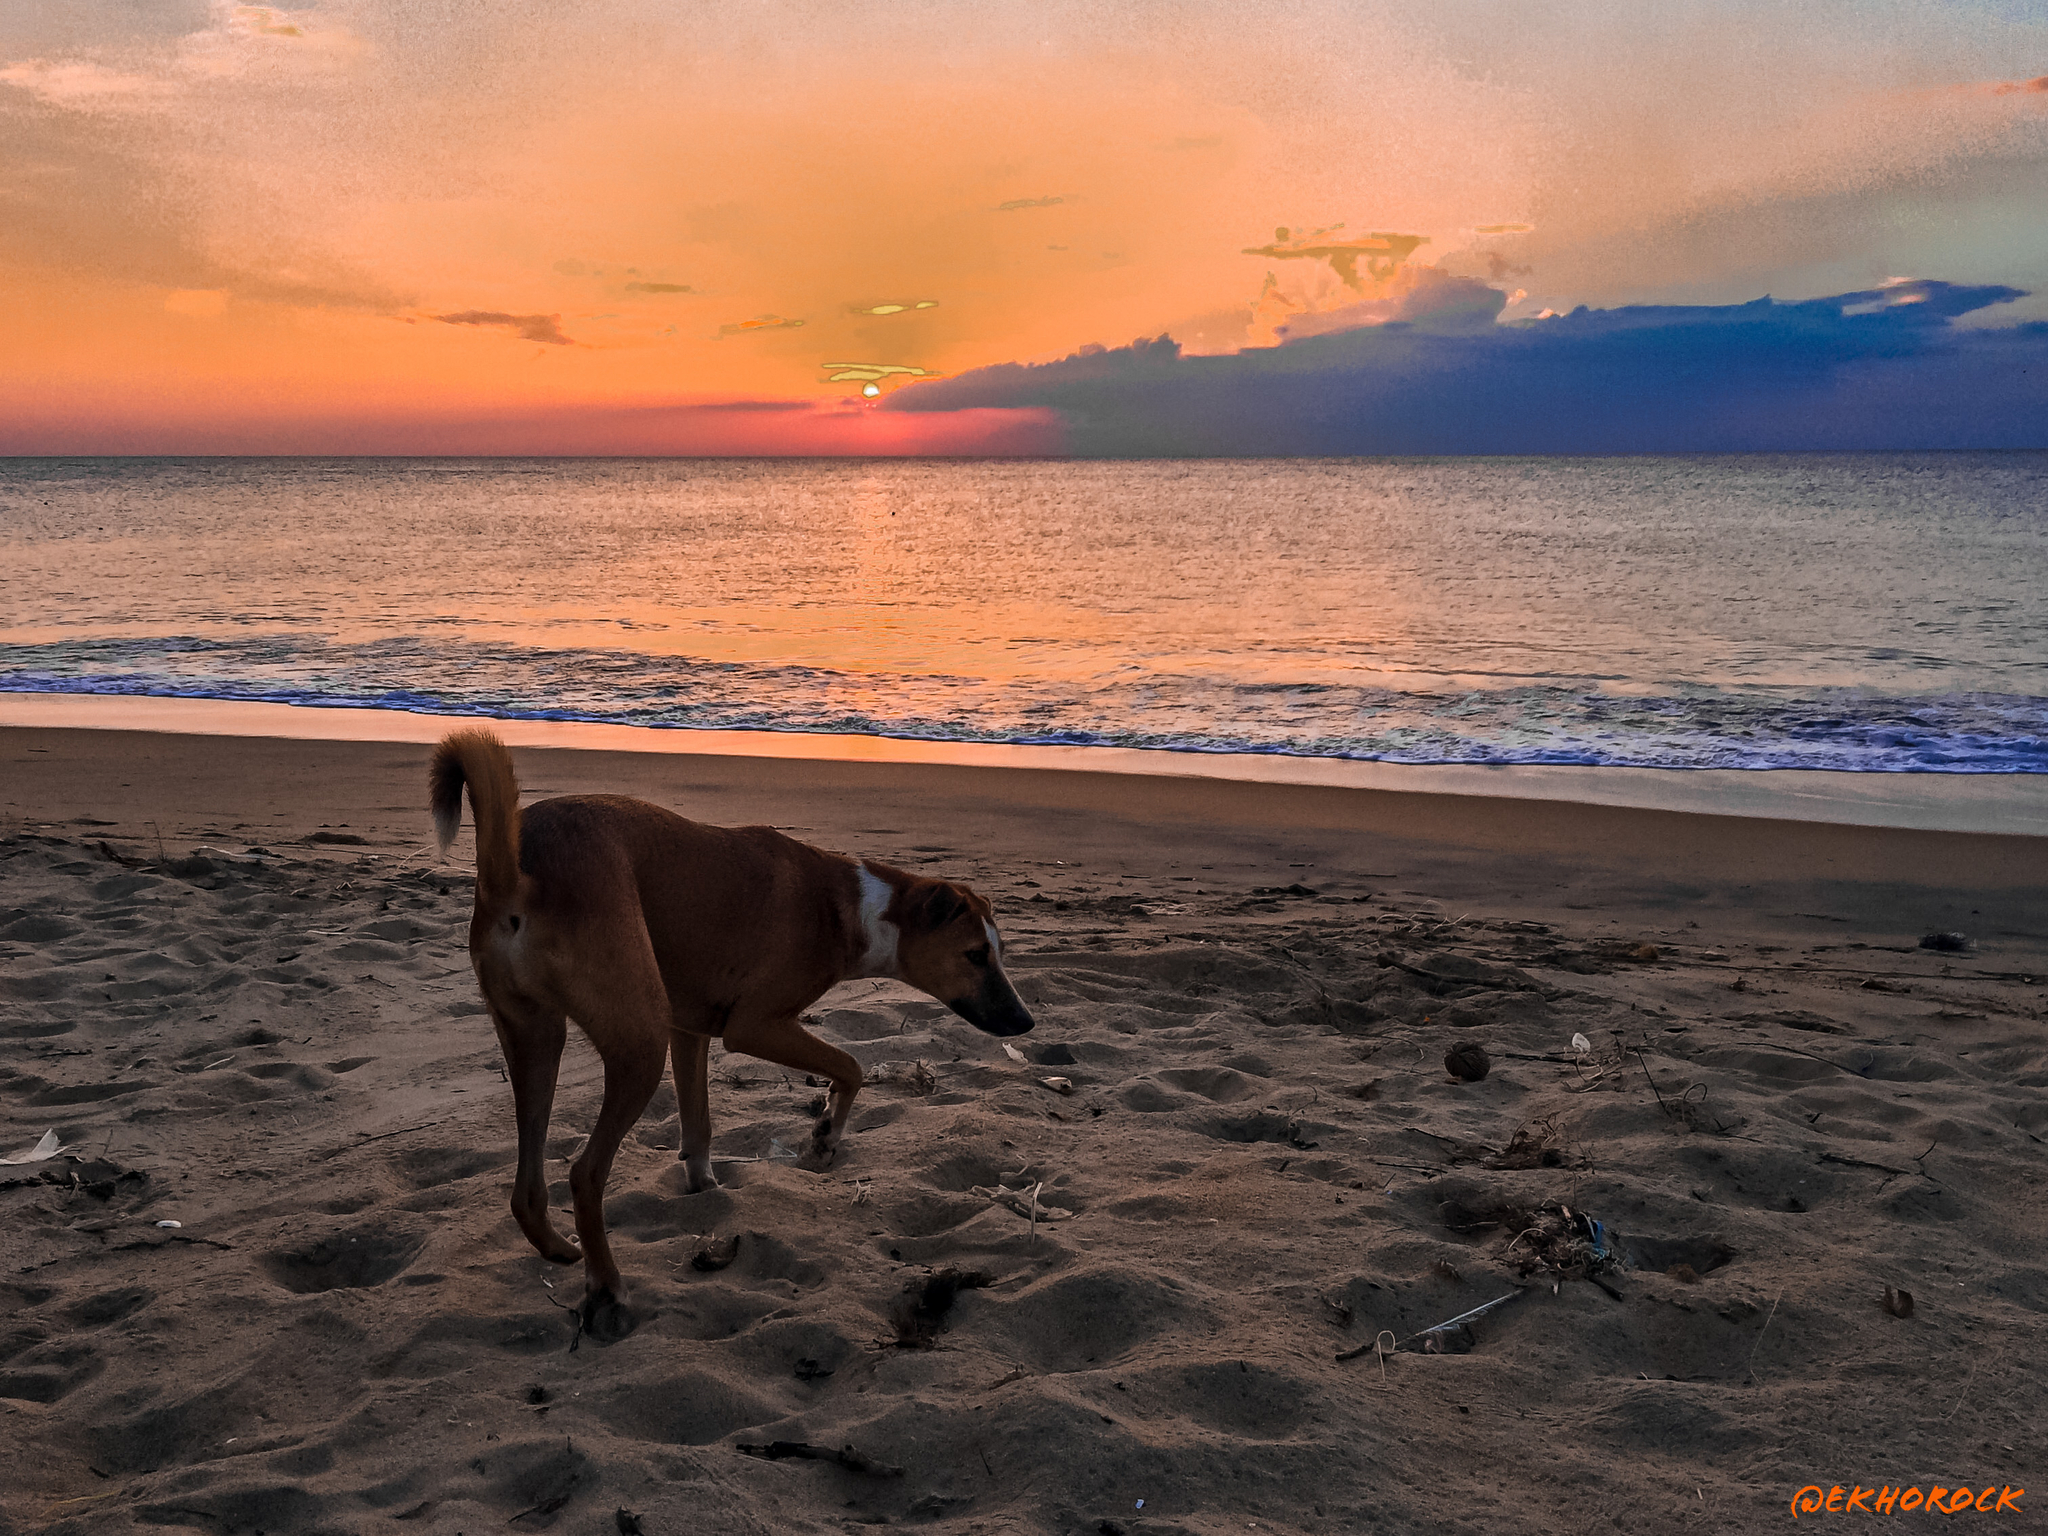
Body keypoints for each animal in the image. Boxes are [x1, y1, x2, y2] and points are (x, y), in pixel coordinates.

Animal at [434, 729, 1040, 1343]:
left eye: (997, 952)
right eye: (975, 955)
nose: (1025, 1023)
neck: (852, 907)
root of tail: (517, 872)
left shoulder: (689, 1029)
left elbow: (699, 1121)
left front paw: (705, 1183)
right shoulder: (755, 1026)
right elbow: (851, 1066)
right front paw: (825, 1136)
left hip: (536, 1038)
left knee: (528, 1189)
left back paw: (560, 1250)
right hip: (638, 1044)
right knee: (584, 1174)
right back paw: (609, 1289)